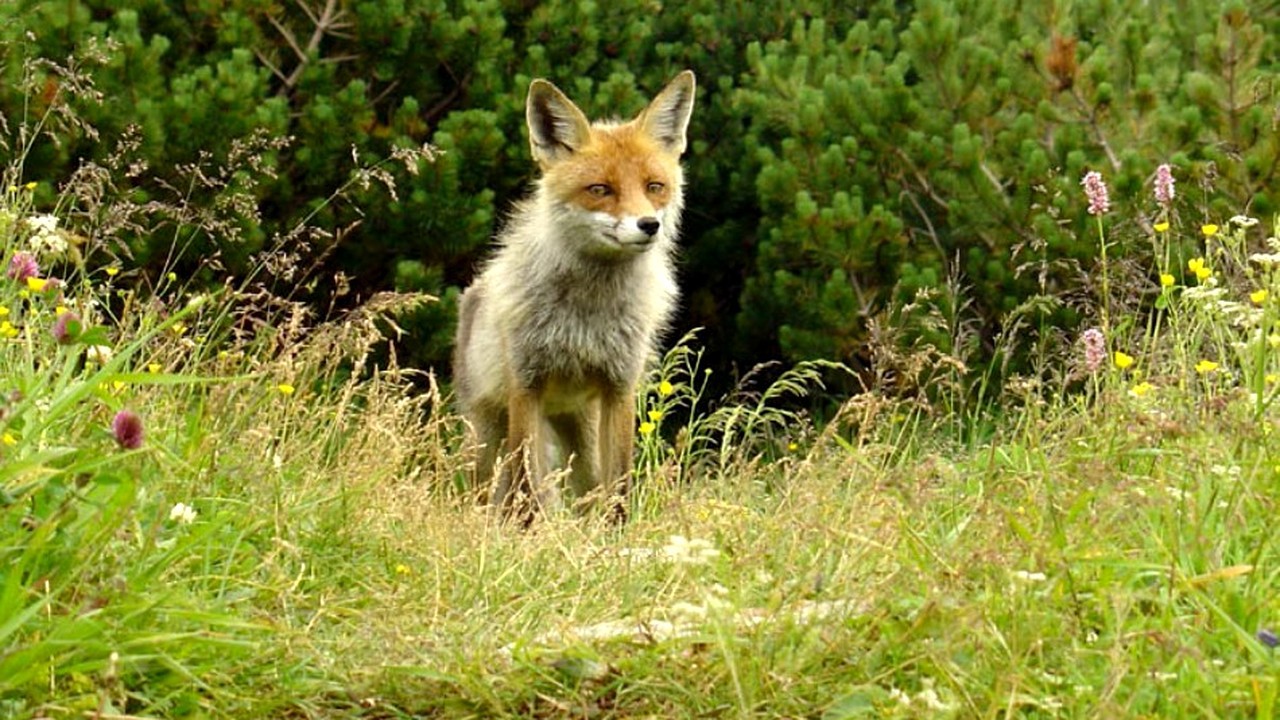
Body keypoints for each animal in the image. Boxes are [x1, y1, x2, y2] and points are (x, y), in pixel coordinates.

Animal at [453, 70, 696, 521]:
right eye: (600, 189)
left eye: (654, 186)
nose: (649, 225)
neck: (587, 315)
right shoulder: (526, 387)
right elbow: (526, 489)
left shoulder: (619, 387)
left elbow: (618, 488)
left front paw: (616, 537)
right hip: (484, 436)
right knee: (488, 491)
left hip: (581, 434)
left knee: (590, 489)